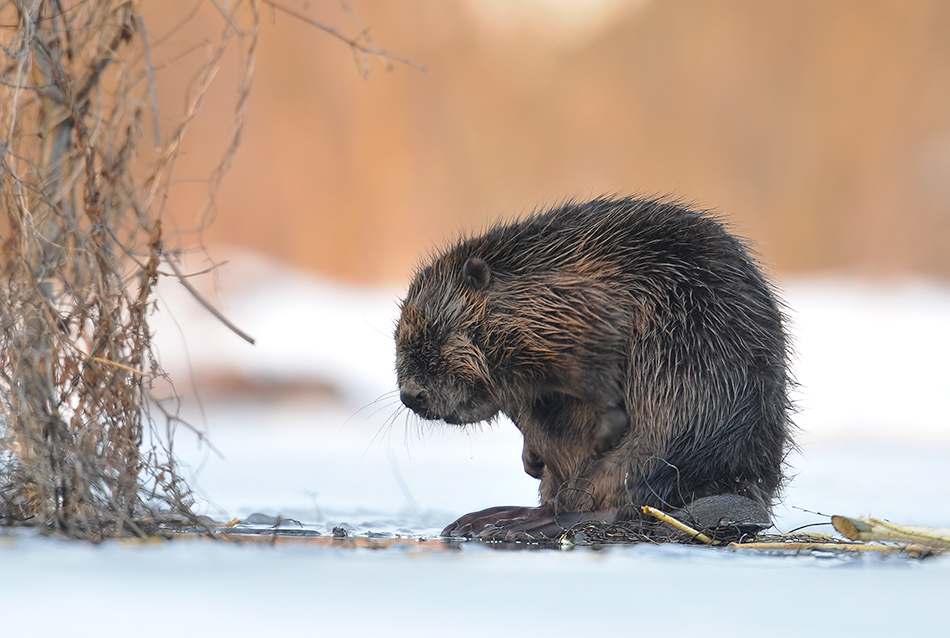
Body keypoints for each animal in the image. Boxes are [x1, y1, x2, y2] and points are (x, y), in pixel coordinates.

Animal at [394, 198, 796, 544]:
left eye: (439, 335)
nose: (412, 395)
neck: (538, 279)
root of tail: (744, 493)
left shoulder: (593, 309)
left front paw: (604, 429)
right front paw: (531, 460)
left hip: (677, 426)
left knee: (620, 500)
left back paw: (509, 525)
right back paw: (484, 518)